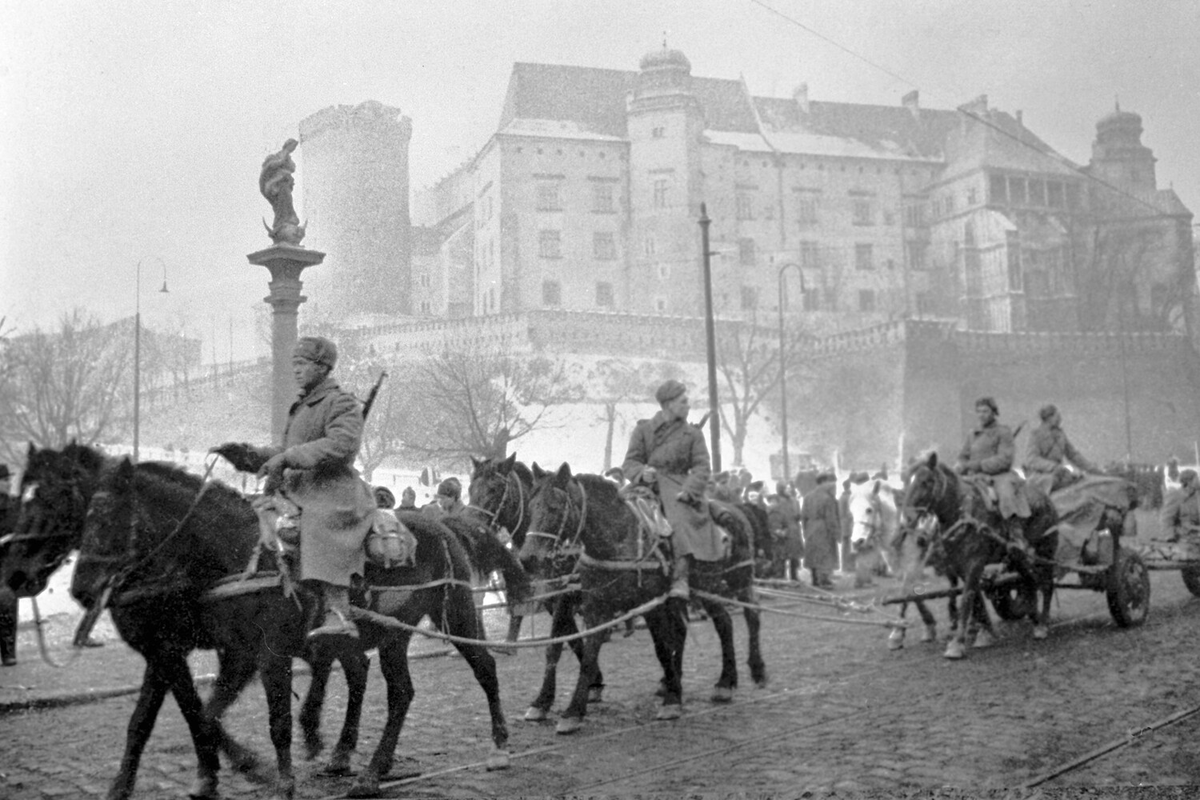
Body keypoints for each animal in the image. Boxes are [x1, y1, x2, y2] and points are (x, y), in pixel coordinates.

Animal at [58, 453, 513, 796]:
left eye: (110, 520)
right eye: (84, 520)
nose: (80, 589)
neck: (241, 555)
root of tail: (443, 524)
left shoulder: (263, 653)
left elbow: (273, 721)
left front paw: (277, 778)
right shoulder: (208, 654)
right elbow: (187, 717)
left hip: (456, 614)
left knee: (484, 668)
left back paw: (499, 745)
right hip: (392, 634)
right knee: (395, 690)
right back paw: (366, 768)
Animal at [520, 462, 763, 734]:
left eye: (555, 507)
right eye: (530, 507)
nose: (527, 558)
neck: (616, 540)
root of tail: (736, 510)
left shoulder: (648, 604)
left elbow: (662, 648)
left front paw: (672, 700)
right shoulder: (589, 605)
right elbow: (574, 651)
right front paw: (564, 708)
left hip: (736, 579)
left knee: (748, 615)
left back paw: (750, 672)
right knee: (719, 624)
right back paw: (718, 681)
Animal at [902, 453, 1060, 662]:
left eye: (926, 481)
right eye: (905, 480)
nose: (907, 519)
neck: (962, 512)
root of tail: (1046, 499)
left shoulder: (974, 563)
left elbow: (967, 598)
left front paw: (957, 644)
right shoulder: (960, 566)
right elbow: (975, 596)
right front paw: (985, 633)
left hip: (1046, 550)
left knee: (1047, 584)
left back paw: (1042, 624)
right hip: (1016, 557)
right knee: (1030, 580)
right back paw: (1033, 616)